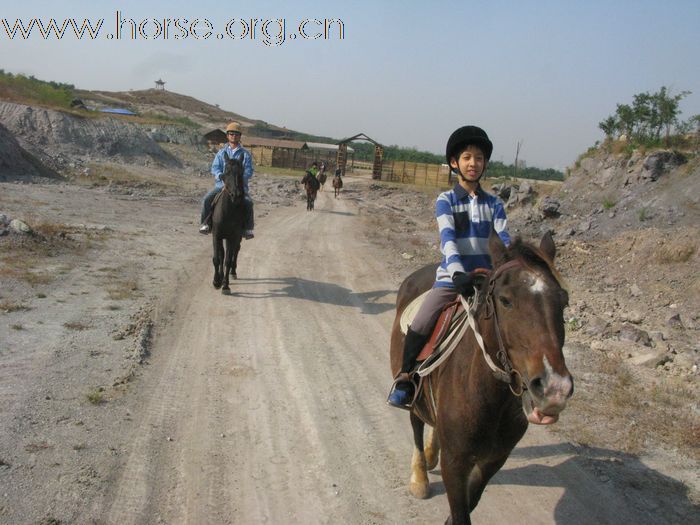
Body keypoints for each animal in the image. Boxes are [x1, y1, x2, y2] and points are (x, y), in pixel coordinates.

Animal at [211, 156, 246, 294]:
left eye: (241, 173)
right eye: (226, 172)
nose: (235, 195)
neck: (228, 212)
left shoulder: (233, 237)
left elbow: (227, 260)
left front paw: (225, 285)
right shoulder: (217, 235)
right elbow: (218, 258)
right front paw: (217, 281)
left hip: (237, 238)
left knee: (235, 252)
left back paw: (233, 272)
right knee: (223, 253)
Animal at [388, 231, 576, 520]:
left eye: (563, 301)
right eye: (505, 300)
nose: (554, 388)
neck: (489, 396)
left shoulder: (494, 460)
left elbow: (470, 503)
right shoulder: (455, 463)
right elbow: (460, 511)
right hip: (411, 386)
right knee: (416, 421)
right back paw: (419, 476)